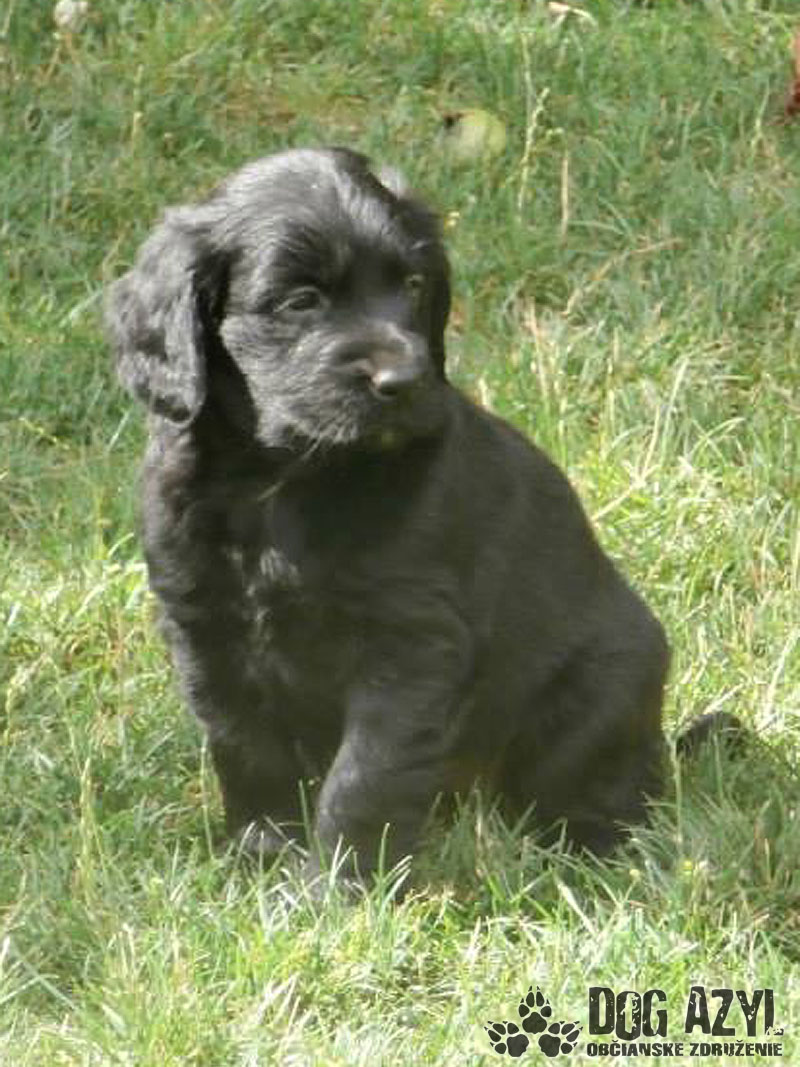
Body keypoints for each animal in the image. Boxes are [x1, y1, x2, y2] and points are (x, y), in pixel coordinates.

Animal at [106, 147, 672, 883]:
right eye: (301, 300)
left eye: (412, 283)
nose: (402, 382)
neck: (280, 481)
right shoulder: (205, 628)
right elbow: (245, 745)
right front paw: (265, 855)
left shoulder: (410, 643)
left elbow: (365, 776)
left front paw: (345, 885)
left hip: (609, 682)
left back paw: (588, 850)